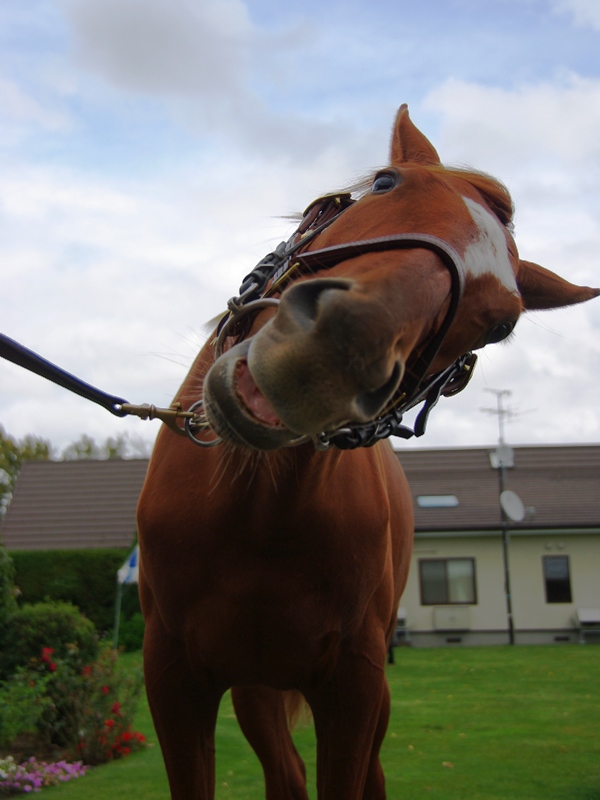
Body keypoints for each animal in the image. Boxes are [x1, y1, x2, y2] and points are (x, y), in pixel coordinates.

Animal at [137, 106, 600, 800]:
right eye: (385, 182)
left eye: (502, 324)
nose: (337, 350)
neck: (257, 516)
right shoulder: (173, 677)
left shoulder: (353, 686)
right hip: (255, 688)